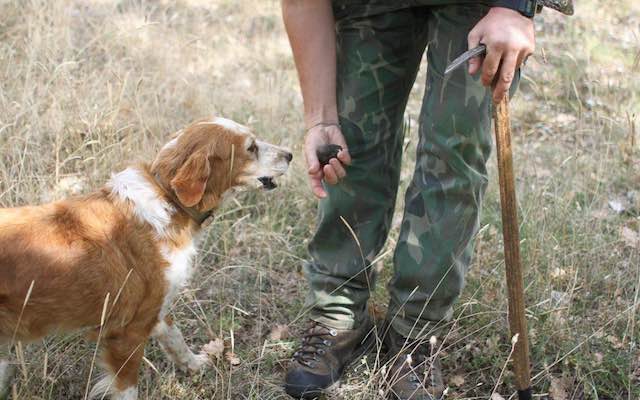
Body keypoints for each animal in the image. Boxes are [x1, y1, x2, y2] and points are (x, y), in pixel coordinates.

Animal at [0, 117, 292, 398]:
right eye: (251, 148)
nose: (290, 154)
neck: (170, 199)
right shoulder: (128, 332)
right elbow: (129, 388)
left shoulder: (155, 309)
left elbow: (175, 337)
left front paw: (195, 363)